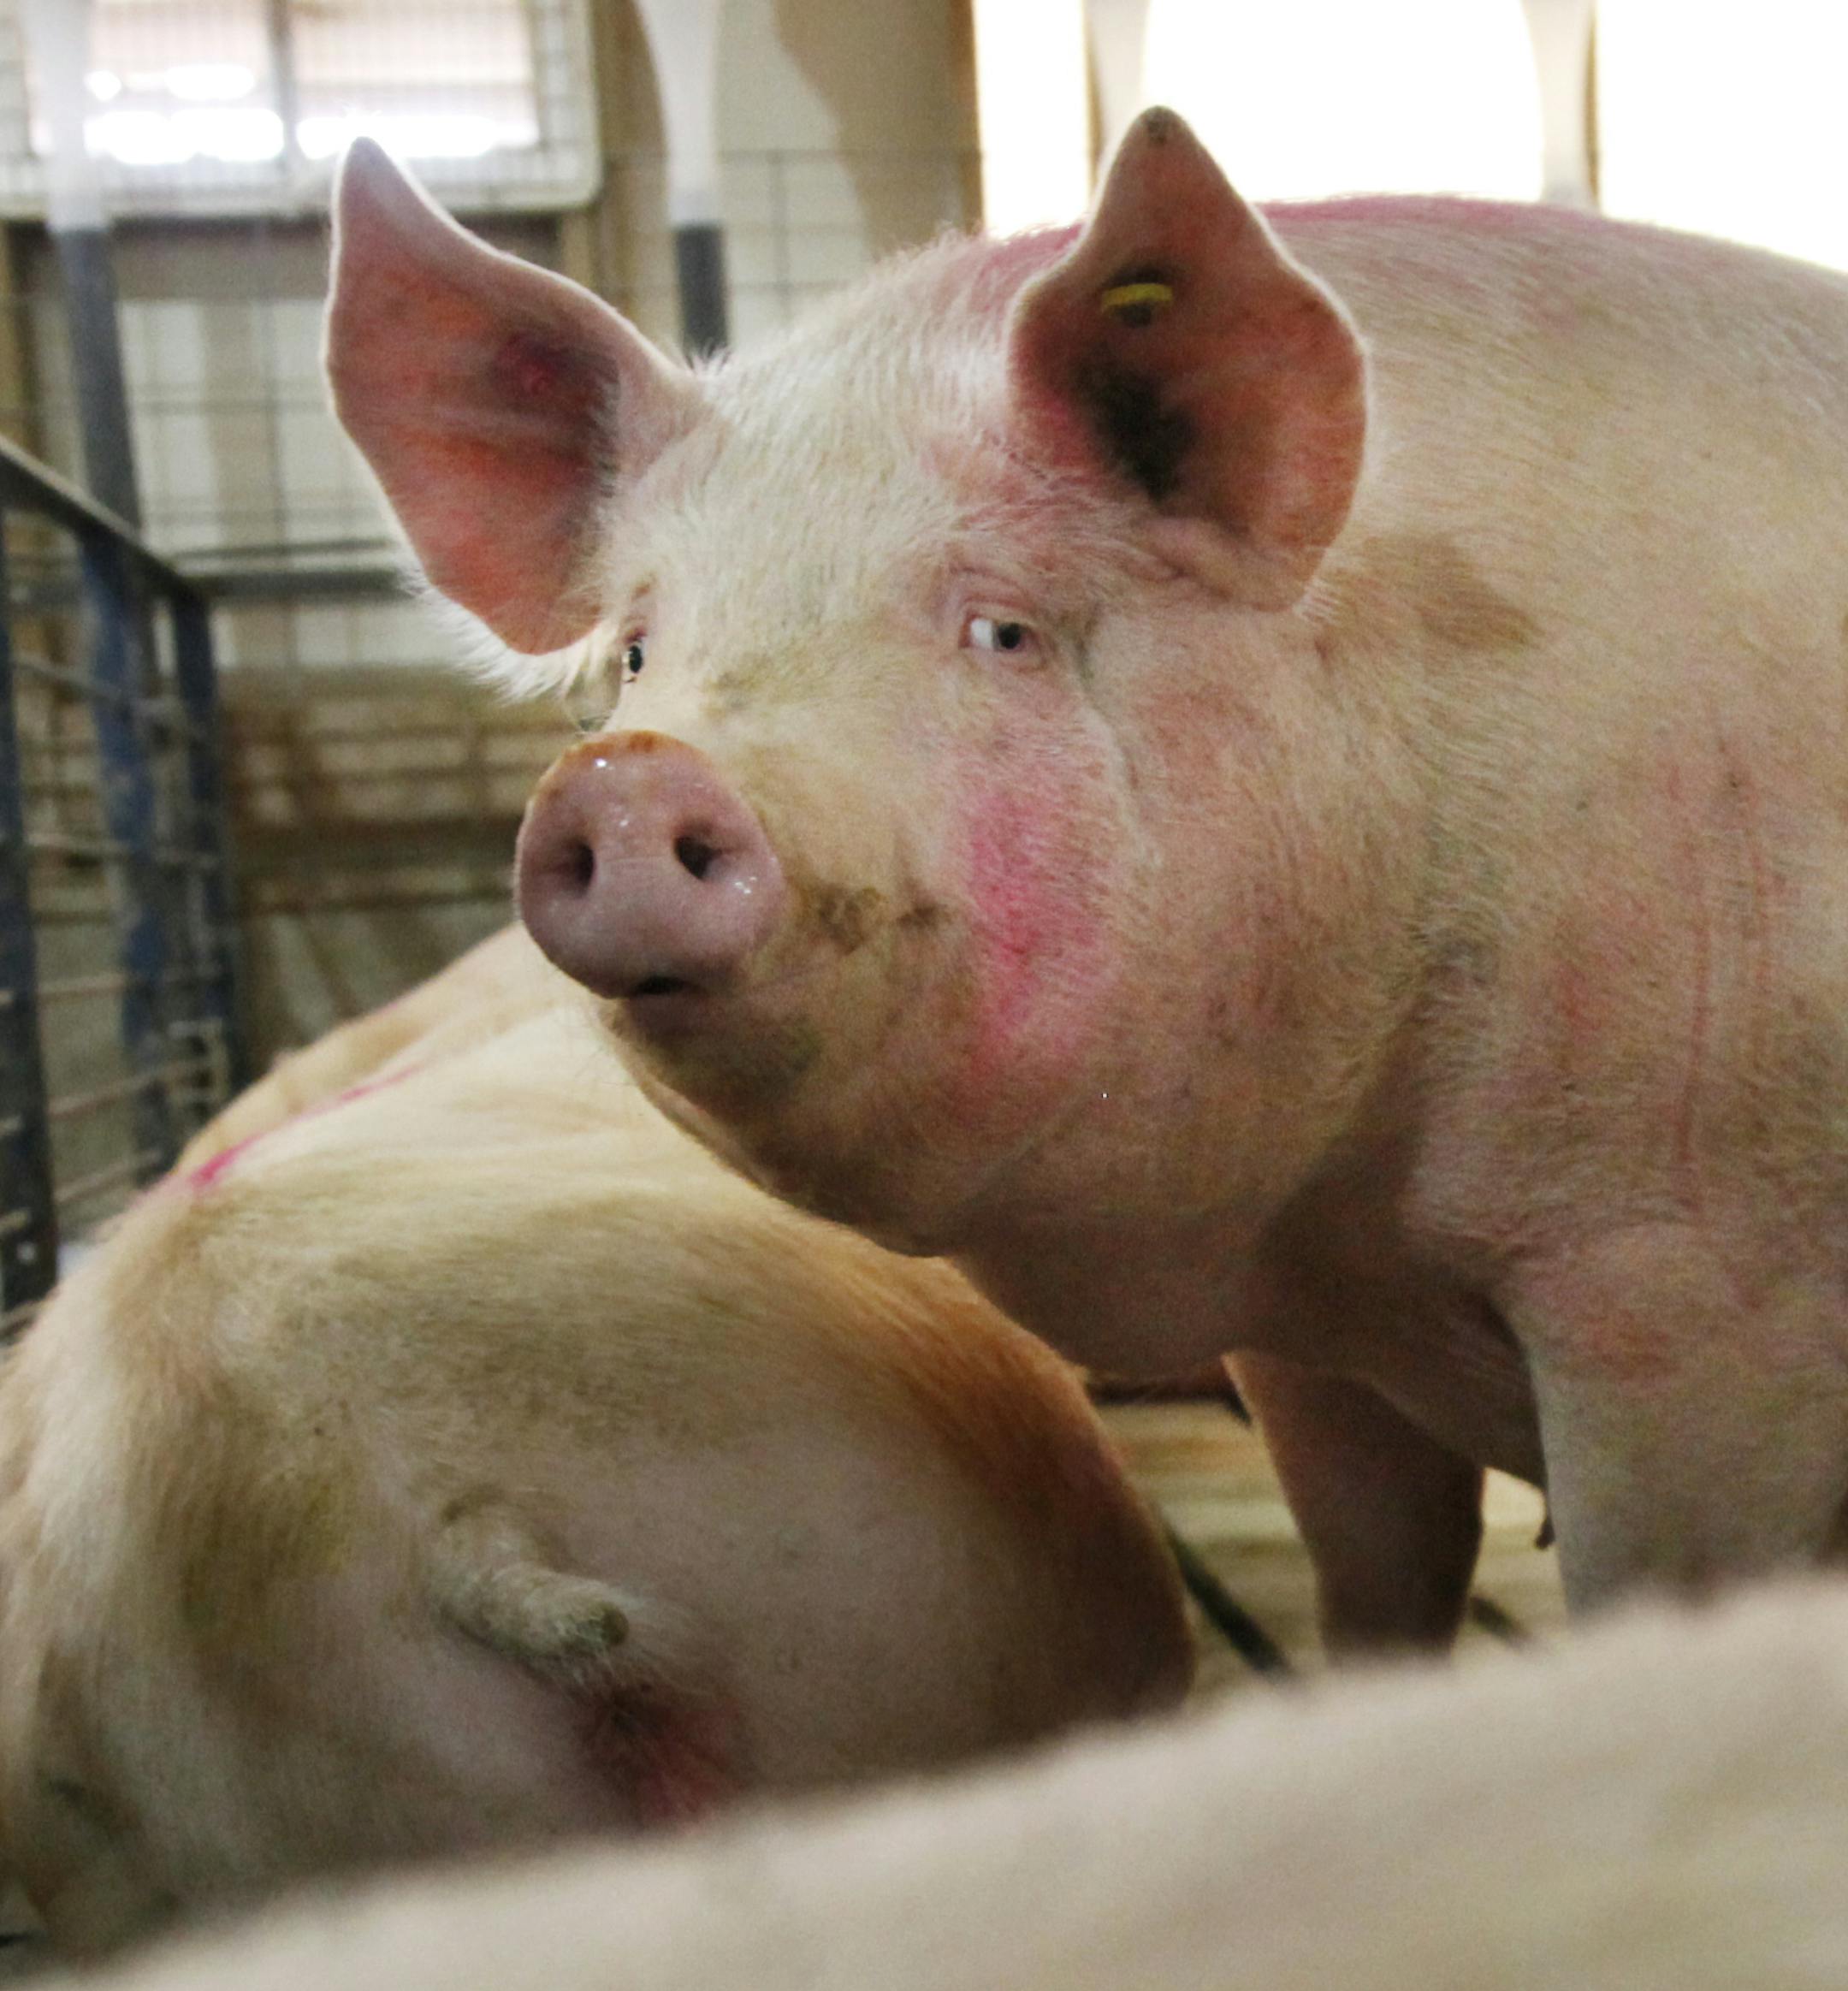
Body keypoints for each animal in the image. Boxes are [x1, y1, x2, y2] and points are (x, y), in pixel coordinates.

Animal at [323, 109, 1848, 1650]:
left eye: (1003, 629)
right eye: (639, 650)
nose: (631, 776)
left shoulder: (1697, 1278)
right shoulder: (1312, 1335)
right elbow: (1376, 1569)